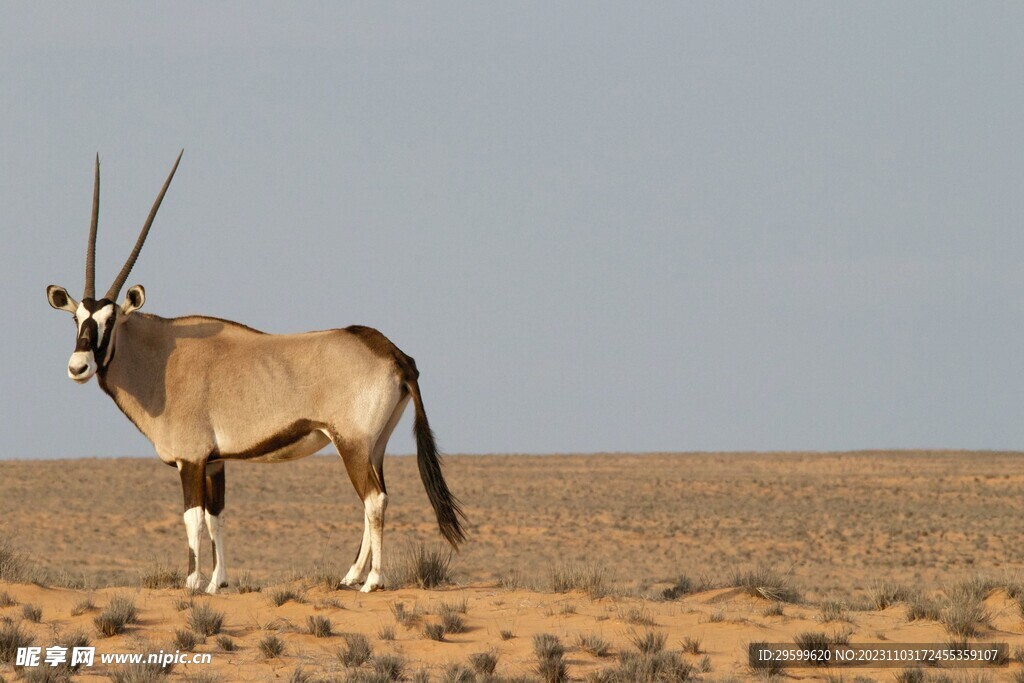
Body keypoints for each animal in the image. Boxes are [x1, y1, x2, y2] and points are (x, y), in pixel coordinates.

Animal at [45, 153, 468, 593]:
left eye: (110, 321)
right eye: (77, 318)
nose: (78, 366)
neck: (162, 356)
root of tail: (395, 354)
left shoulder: (191, 460)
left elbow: (192, 519)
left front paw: (193, 582)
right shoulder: (215, 461)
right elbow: (216, 517)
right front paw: (217, 583)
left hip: (351, 443)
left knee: (374, 499)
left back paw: (372, 581)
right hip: (375, 446)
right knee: (377, 495)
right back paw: (350, 575)